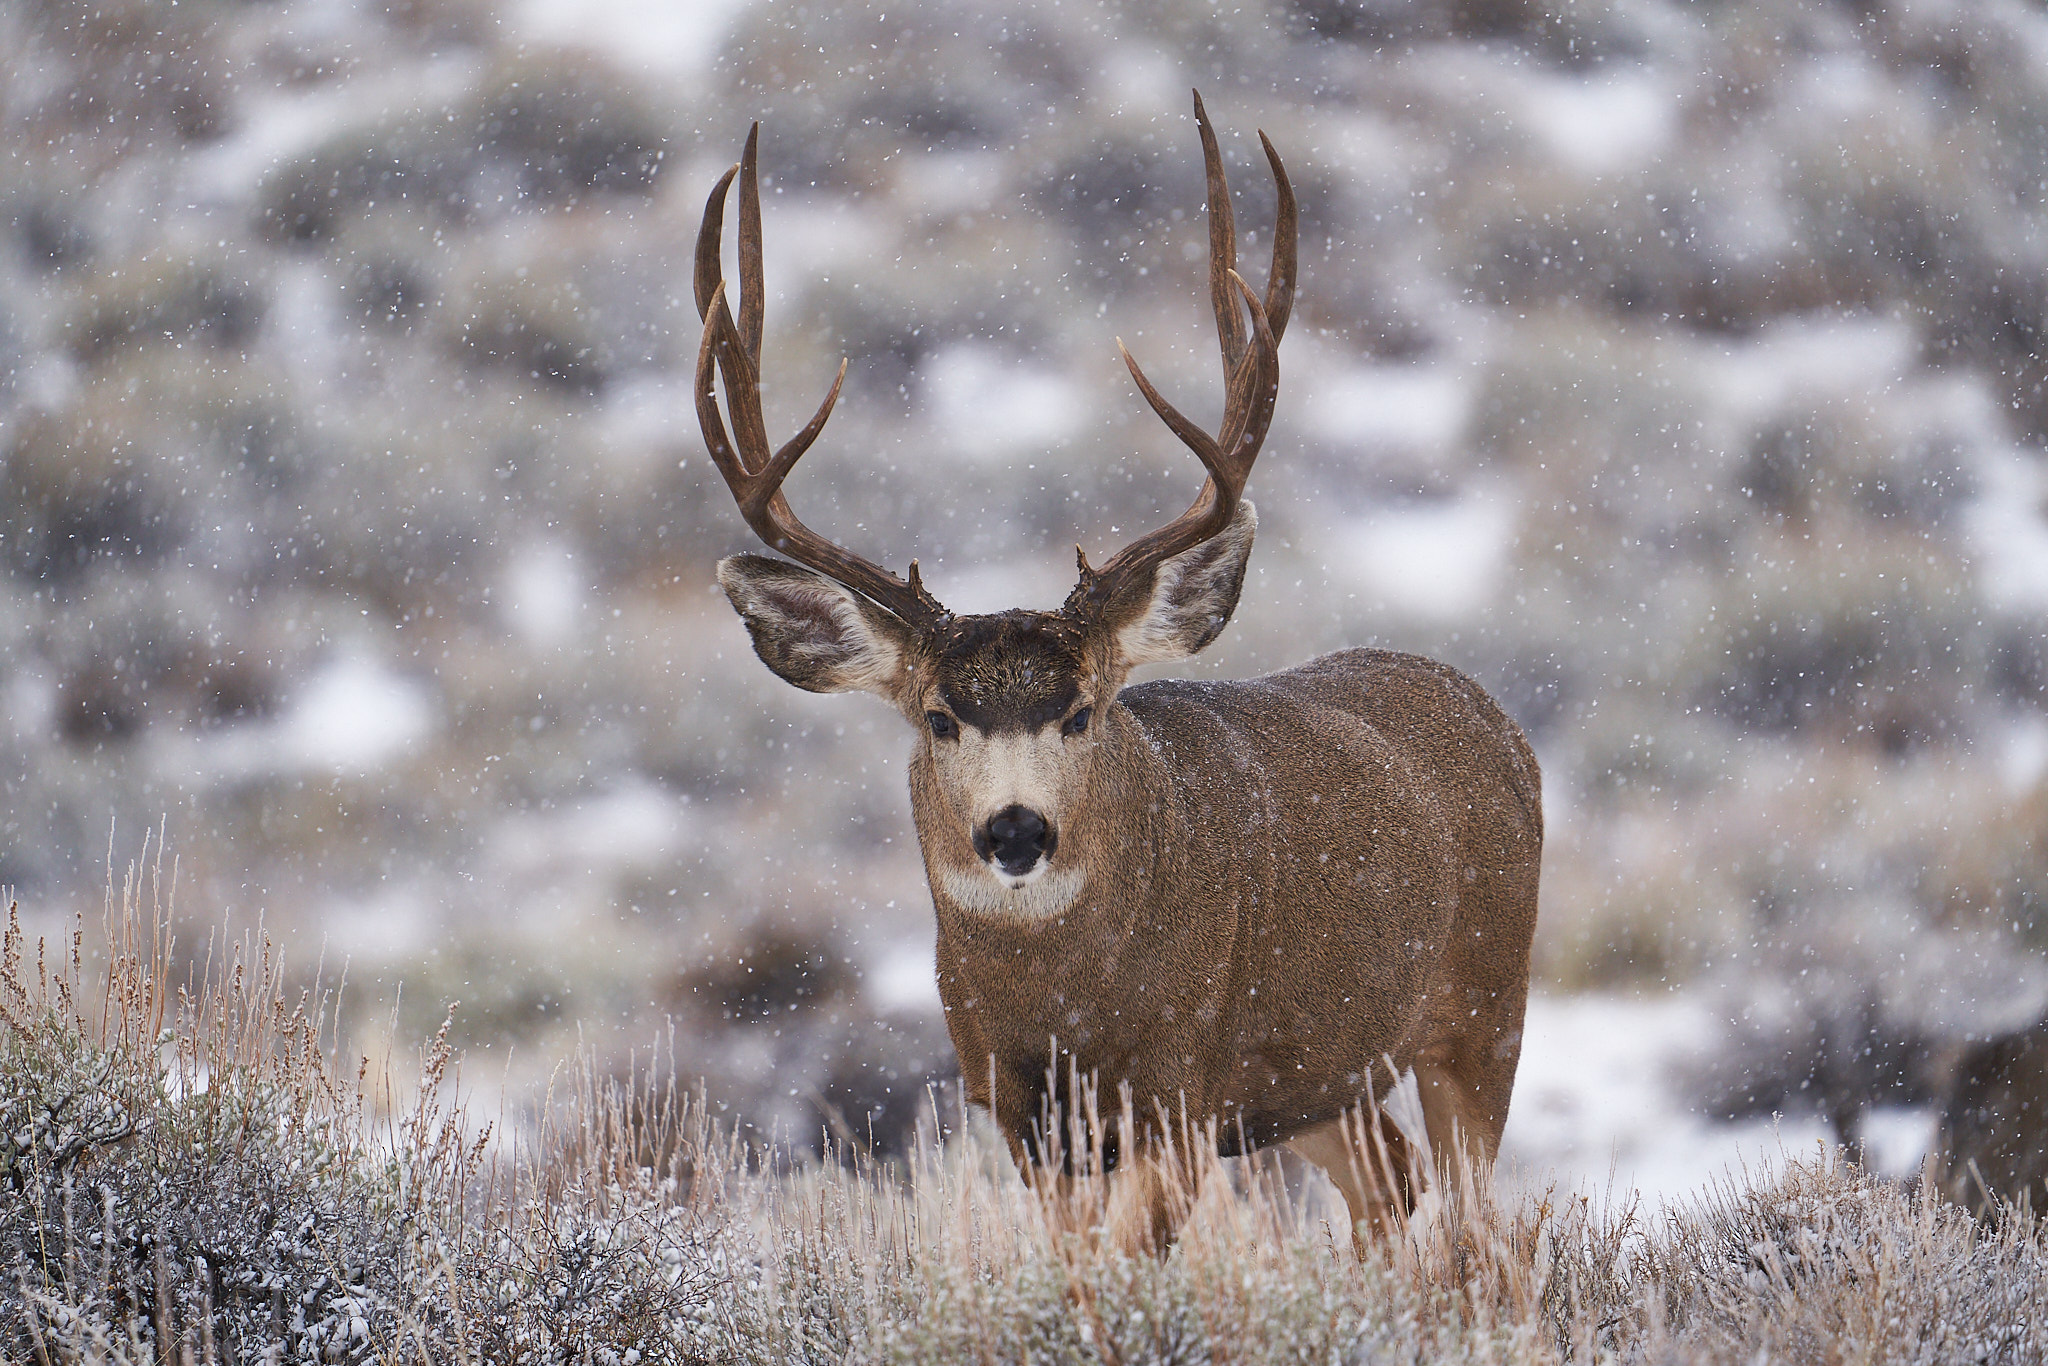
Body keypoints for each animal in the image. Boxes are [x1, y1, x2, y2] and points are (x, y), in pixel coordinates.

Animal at [691, 93, 1543, 1253]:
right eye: (938, 717)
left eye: (1084, 712)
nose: (1015, 831)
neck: (1064, 1009)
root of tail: (1492, 715)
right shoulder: (1023, 1114)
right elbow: (1075, 1262)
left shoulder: (1180, 1083)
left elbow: (1126, 1256)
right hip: (1314, 1078)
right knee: (1391, 1183)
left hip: (1480, 1009)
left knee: (1471, 1223)